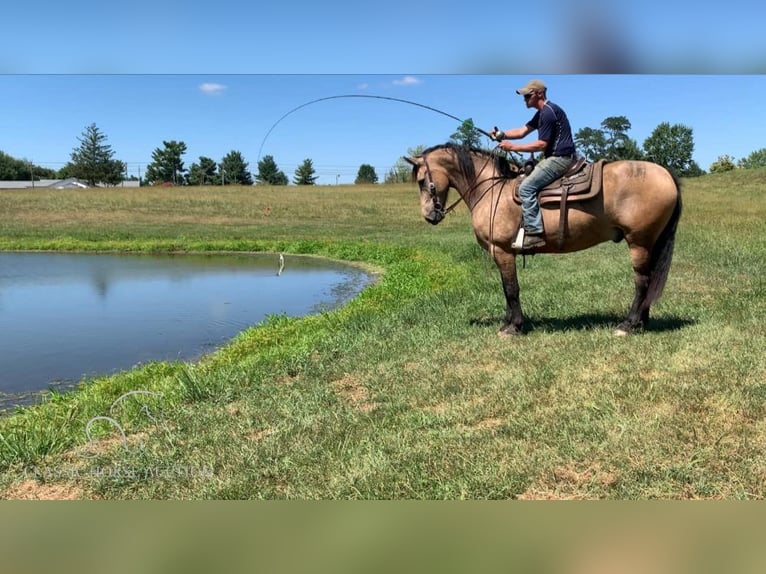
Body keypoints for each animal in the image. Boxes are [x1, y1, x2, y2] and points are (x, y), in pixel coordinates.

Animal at [408, 143, 684, 338]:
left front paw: (513, 327)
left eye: (422, 181)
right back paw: (641, 322)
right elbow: (507, 288)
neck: (492, 190)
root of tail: (665, 173)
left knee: (642, 282)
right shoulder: (503, 254)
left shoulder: (502, 251)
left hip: (639, 242)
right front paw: (508, 322)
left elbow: (511, 289)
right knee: (649, 281)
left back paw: (628, 324)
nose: (429, 216)